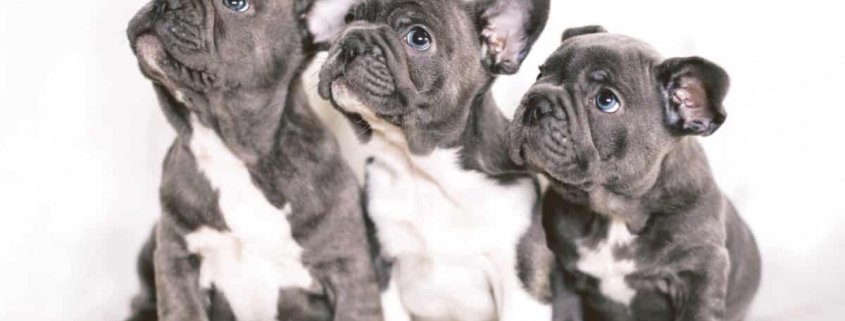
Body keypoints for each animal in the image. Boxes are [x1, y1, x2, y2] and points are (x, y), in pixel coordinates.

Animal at [316, 0, 580, 320]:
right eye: (349, 19)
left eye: (418, 38)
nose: (352, 39)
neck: (425, 169)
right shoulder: (384, 271)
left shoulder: (521, 283)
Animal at [508, 25, 764, 320]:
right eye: (540, 73)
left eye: (606, 100)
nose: (537, 101)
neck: (615, 214)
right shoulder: (564, 276)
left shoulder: (700, 275)